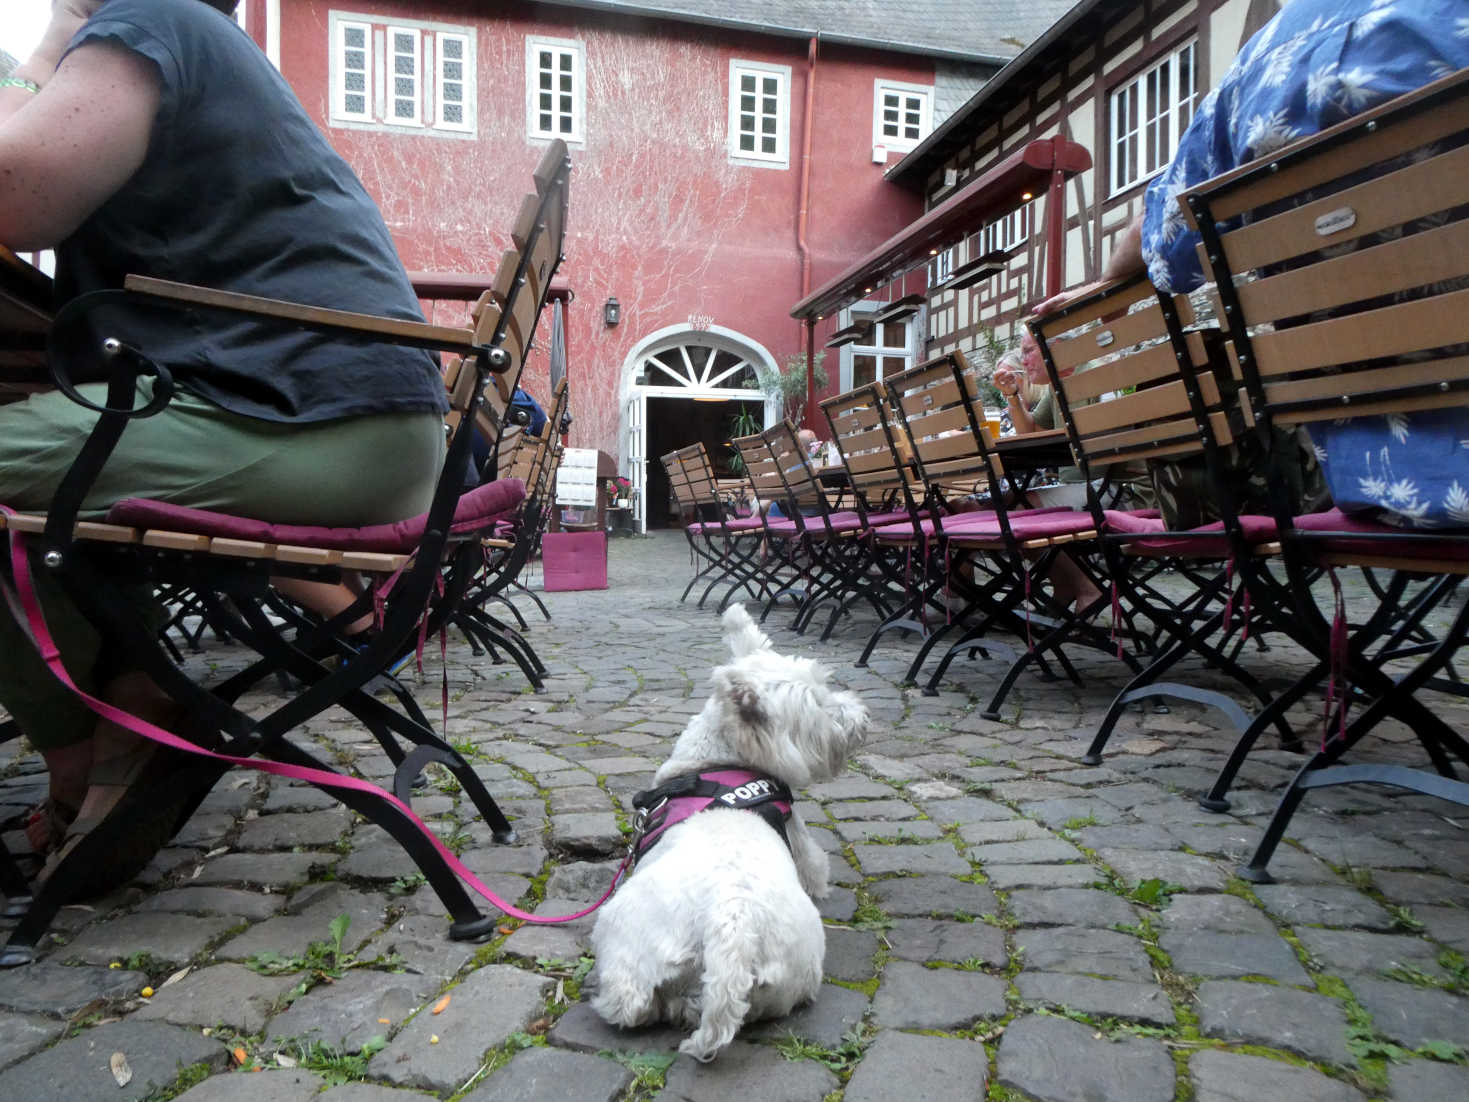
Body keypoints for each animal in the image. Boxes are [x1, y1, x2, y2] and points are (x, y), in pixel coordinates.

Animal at [584, 608, 857, 1063]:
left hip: (625, 941)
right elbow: (817, 870)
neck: (715, 761)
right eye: (816, 705)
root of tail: (732, 923)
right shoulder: (800, 839)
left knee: (632, 1004)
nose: (860, 717)